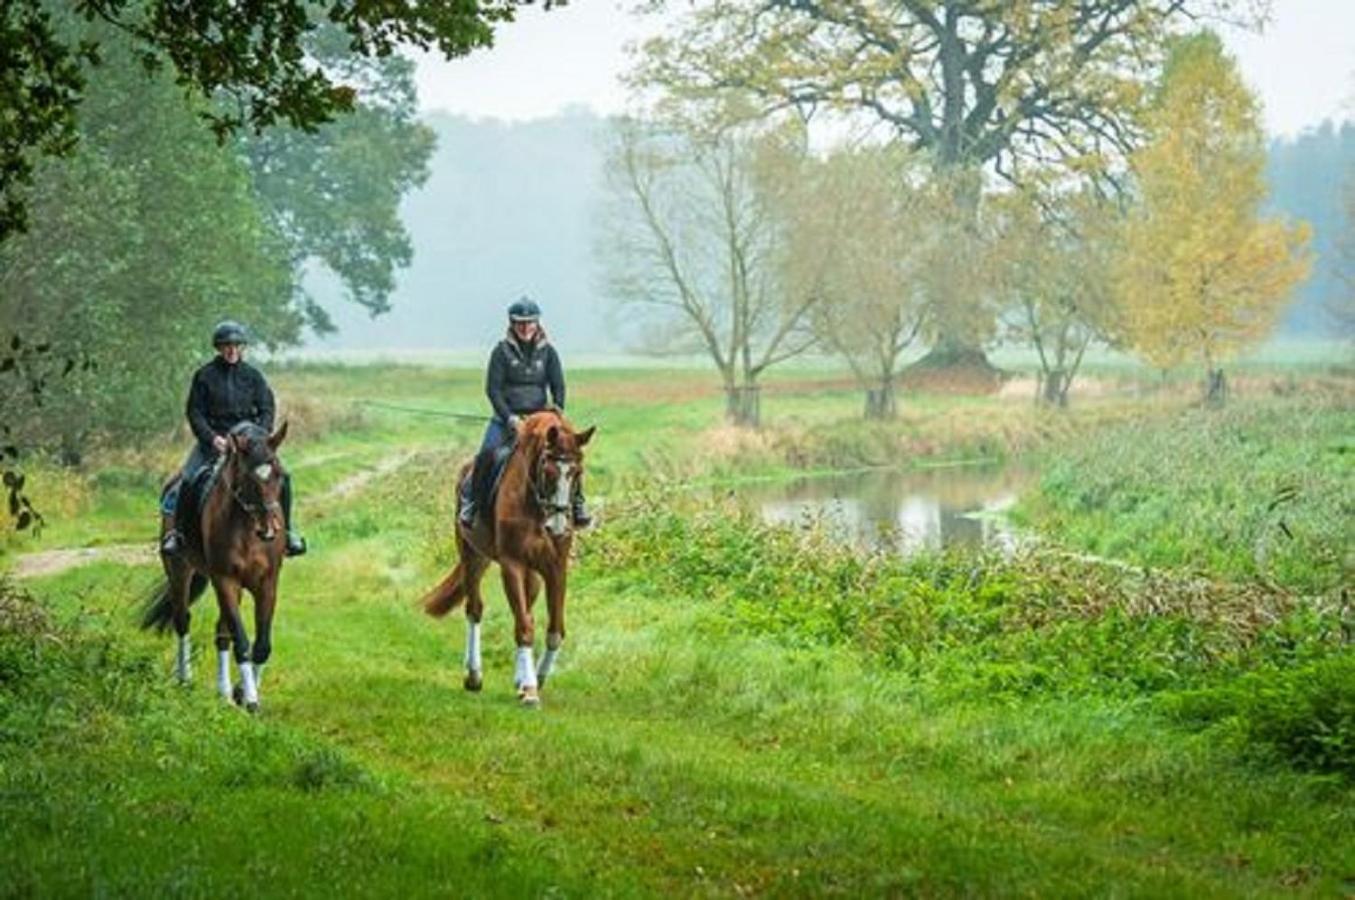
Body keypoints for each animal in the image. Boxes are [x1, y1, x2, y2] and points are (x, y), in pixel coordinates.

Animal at [142, 420, 291, 710]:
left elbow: (261, 645)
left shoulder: (267, 583)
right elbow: (242, 641)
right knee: (183, 620)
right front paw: (251, 699)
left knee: (222, 632)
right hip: (180, 571)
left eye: (278, 475)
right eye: (248, 477)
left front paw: (243, 692)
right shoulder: (225, 580)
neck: (247, 530)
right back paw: (185, 679)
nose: (269, 530)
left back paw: (223, 692)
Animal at [420, 412, 596, 704]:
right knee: (475, 610)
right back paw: (474, 676)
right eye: (548, 471)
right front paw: (530, 690)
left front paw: (537, 678)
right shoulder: (512, 564)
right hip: (472, 556)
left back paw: (519, 677)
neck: (536, 506)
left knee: (528, 610)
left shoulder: (556, 568)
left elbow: (554, 630)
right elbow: (523, 626)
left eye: (577, 473)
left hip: (532, 574)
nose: (558, 527)